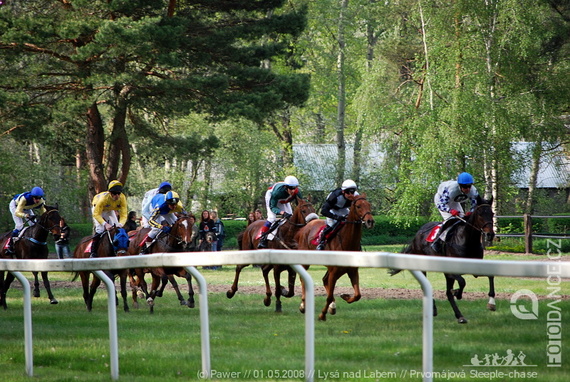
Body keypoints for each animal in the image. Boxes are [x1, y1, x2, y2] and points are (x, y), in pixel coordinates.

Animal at [392, 195, 494, 324]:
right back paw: (435, 309)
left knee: (447, 293)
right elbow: (462, 282)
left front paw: (491, 304)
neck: (467, 240)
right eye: (480, 214)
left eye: (492, 213)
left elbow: (490, 276)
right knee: (426, 286)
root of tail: (417, 234)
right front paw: (457, 293)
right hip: (424, 266)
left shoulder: (475, 268)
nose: (490, 234)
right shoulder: (452, 270)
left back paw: (459, 316)